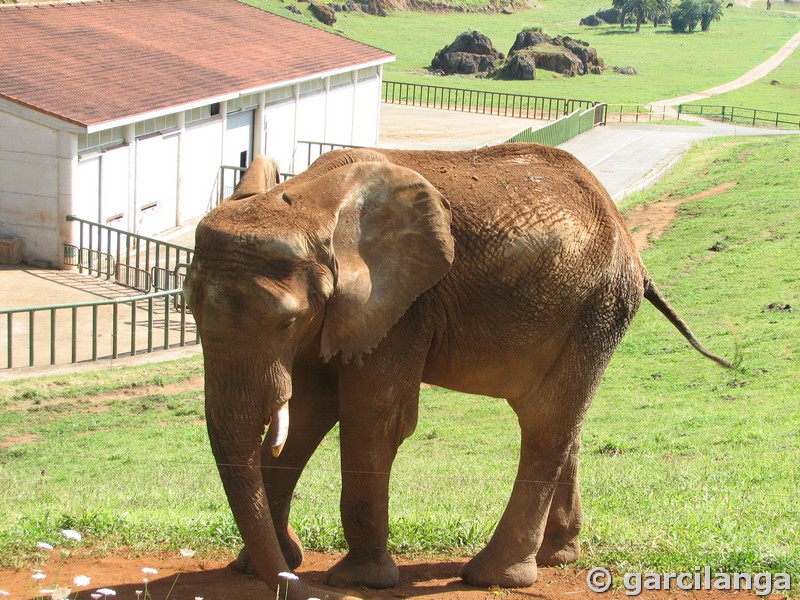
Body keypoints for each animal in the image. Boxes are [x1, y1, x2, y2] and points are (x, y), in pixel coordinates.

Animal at [183, 142, 732, 600]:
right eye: (188, 310)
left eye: (287, 321)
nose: (296, 586)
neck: (310, 199)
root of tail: (629, 241)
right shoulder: (345, 309)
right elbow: (310, 409)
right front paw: (258, 566)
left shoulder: (406, 303)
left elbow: (374, 415)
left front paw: (357, 581)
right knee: (563, 420)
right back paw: (557, 557)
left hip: (599, 305)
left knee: (547, 423)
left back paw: (494, 576)